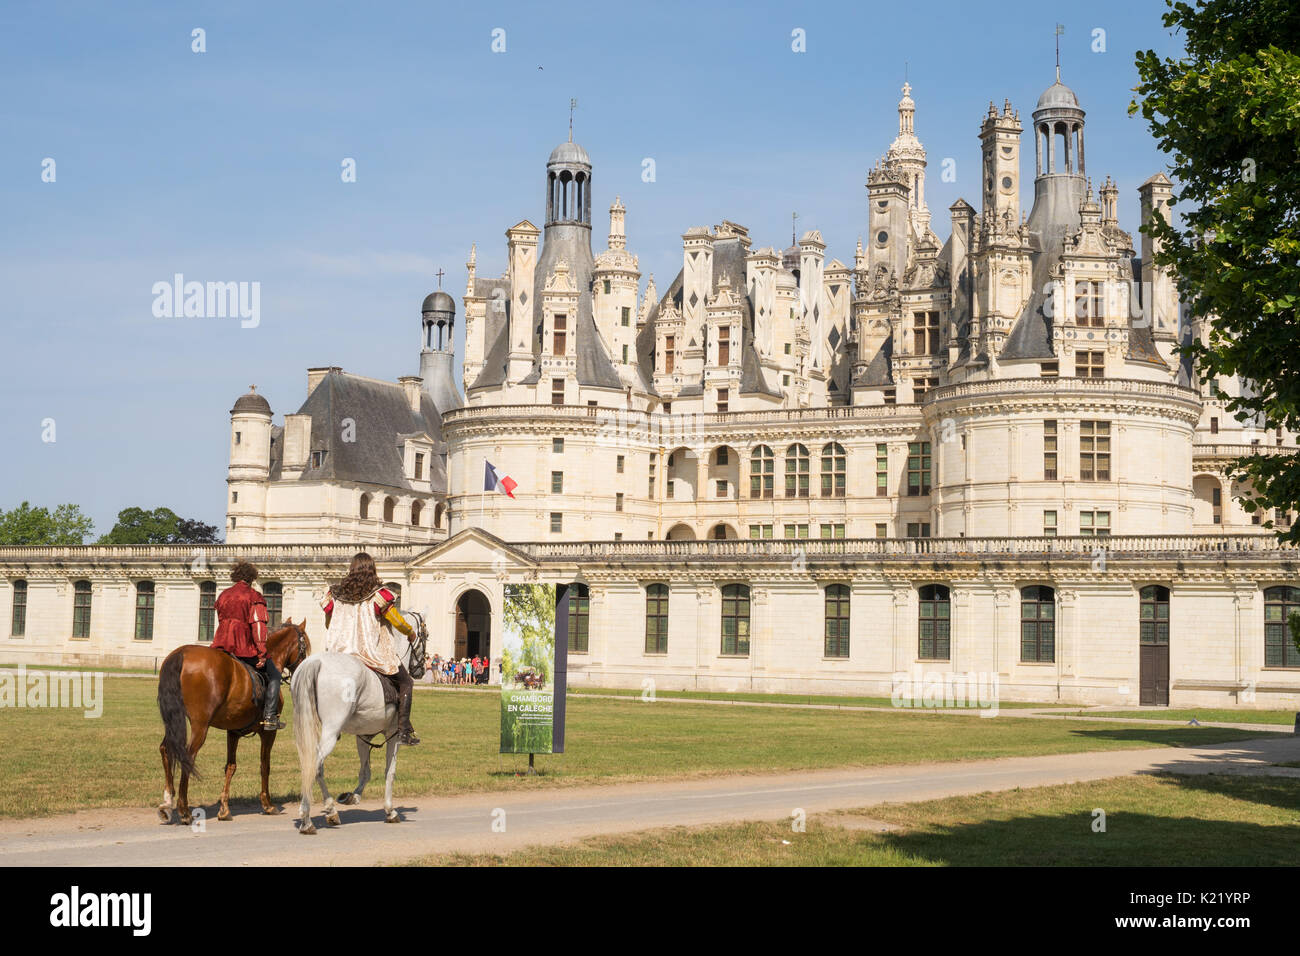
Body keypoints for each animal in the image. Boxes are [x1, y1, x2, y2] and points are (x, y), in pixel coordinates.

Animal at [154, 624, 309, 827]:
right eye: (304, 647)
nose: (304, 670)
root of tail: (182, 653)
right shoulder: (268, 733)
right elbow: (265, 766)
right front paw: (268, 804)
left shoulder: (233, 732)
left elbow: (230, 766)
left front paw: (224, 809)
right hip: (200, 726)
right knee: (187, 757)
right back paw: (184, 810)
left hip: (174, 721)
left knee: (166, 749)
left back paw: (167, 803)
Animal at [289, 608, 426, 832]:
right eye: (425, 637)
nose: (421, 670)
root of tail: (315, 662)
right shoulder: (393, 735)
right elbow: (390, 772)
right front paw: (390, 810)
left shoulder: (363, 736)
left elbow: (366, 771)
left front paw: (352, 796)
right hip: (331, 731)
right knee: (315, 765)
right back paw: (308, 818)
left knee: (312, 766)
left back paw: (330, 811)